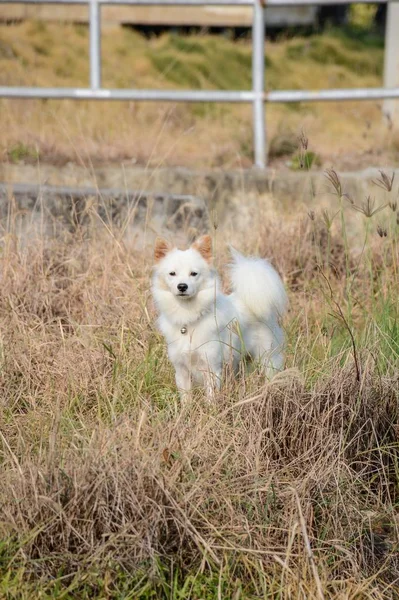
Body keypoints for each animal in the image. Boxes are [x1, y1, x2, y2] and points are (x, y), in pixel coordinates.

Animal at [152, 234, 288, 398]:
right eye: (172, 274)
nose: (182, 286)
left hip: (267, 357)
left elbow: (210, 396)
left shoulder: (211, 367)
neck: (189, 316)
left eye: (194, 274)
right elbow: (186, 398)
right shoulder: (181, 370)